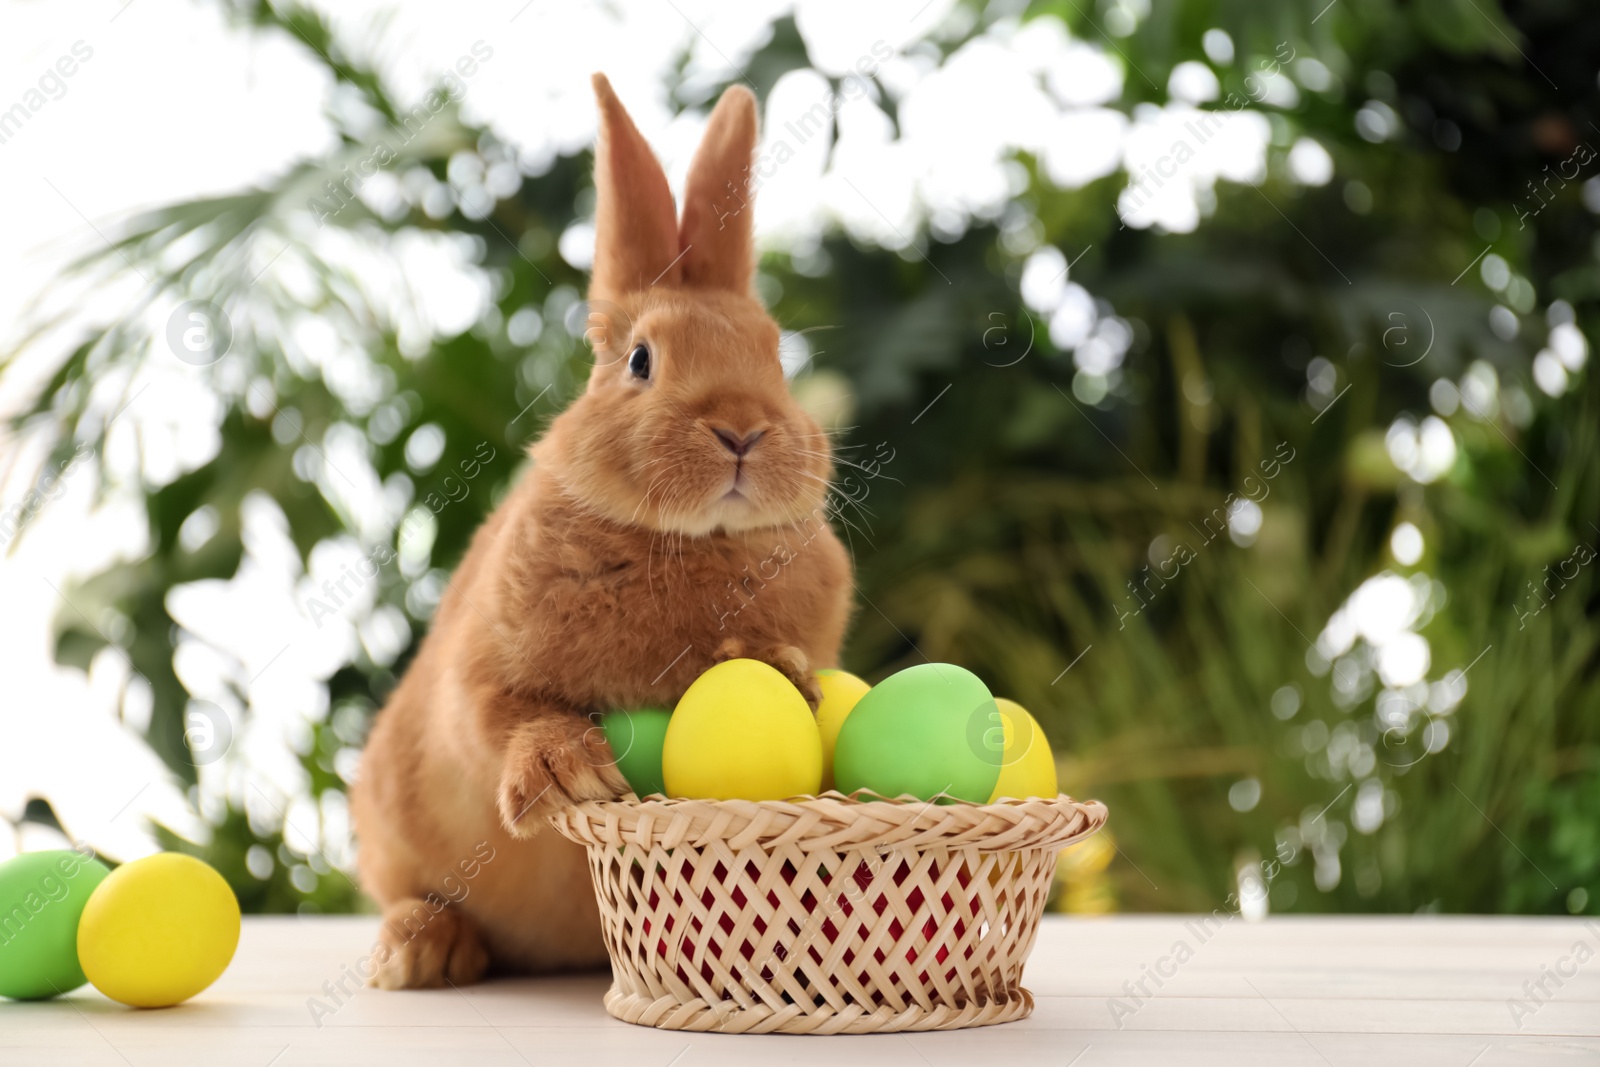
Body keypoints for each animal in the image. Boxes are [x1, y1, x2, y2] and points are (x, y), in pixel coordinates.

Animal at [348, 75, 851, 991]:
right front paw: (568, 773)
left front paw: (776, 669)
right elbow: (503, 714)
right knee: (410, 892)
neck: (689, 538)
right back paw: (422, 952)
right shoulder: (480, 672)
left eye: (776, 355)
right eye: (641, 360)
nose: (742, 429)